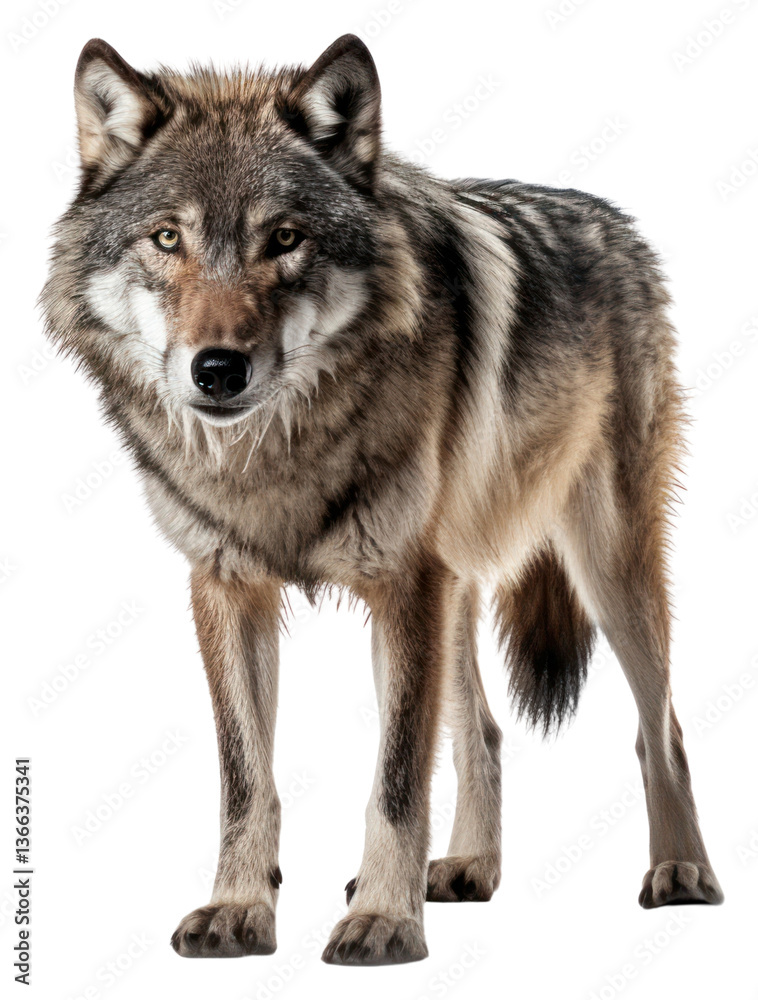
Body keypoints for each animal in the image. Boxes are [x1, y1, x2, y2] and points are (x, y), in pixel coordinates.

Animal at [42, 34, 723, 966]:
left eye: (284, 238)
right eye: (167, 237)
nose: (217, 370)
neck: (274, 456)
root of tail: (617, 223)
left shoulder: (403, 585)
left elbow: (397, 781)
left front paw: (383, 921)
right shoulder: (227, 588)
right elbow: (245, 780)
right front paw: (239, 907)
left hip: (605, 565)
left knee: (664, 728)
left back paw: (682, 872)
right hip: (459, 586)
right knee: (484, 731)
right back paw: (470, 868)